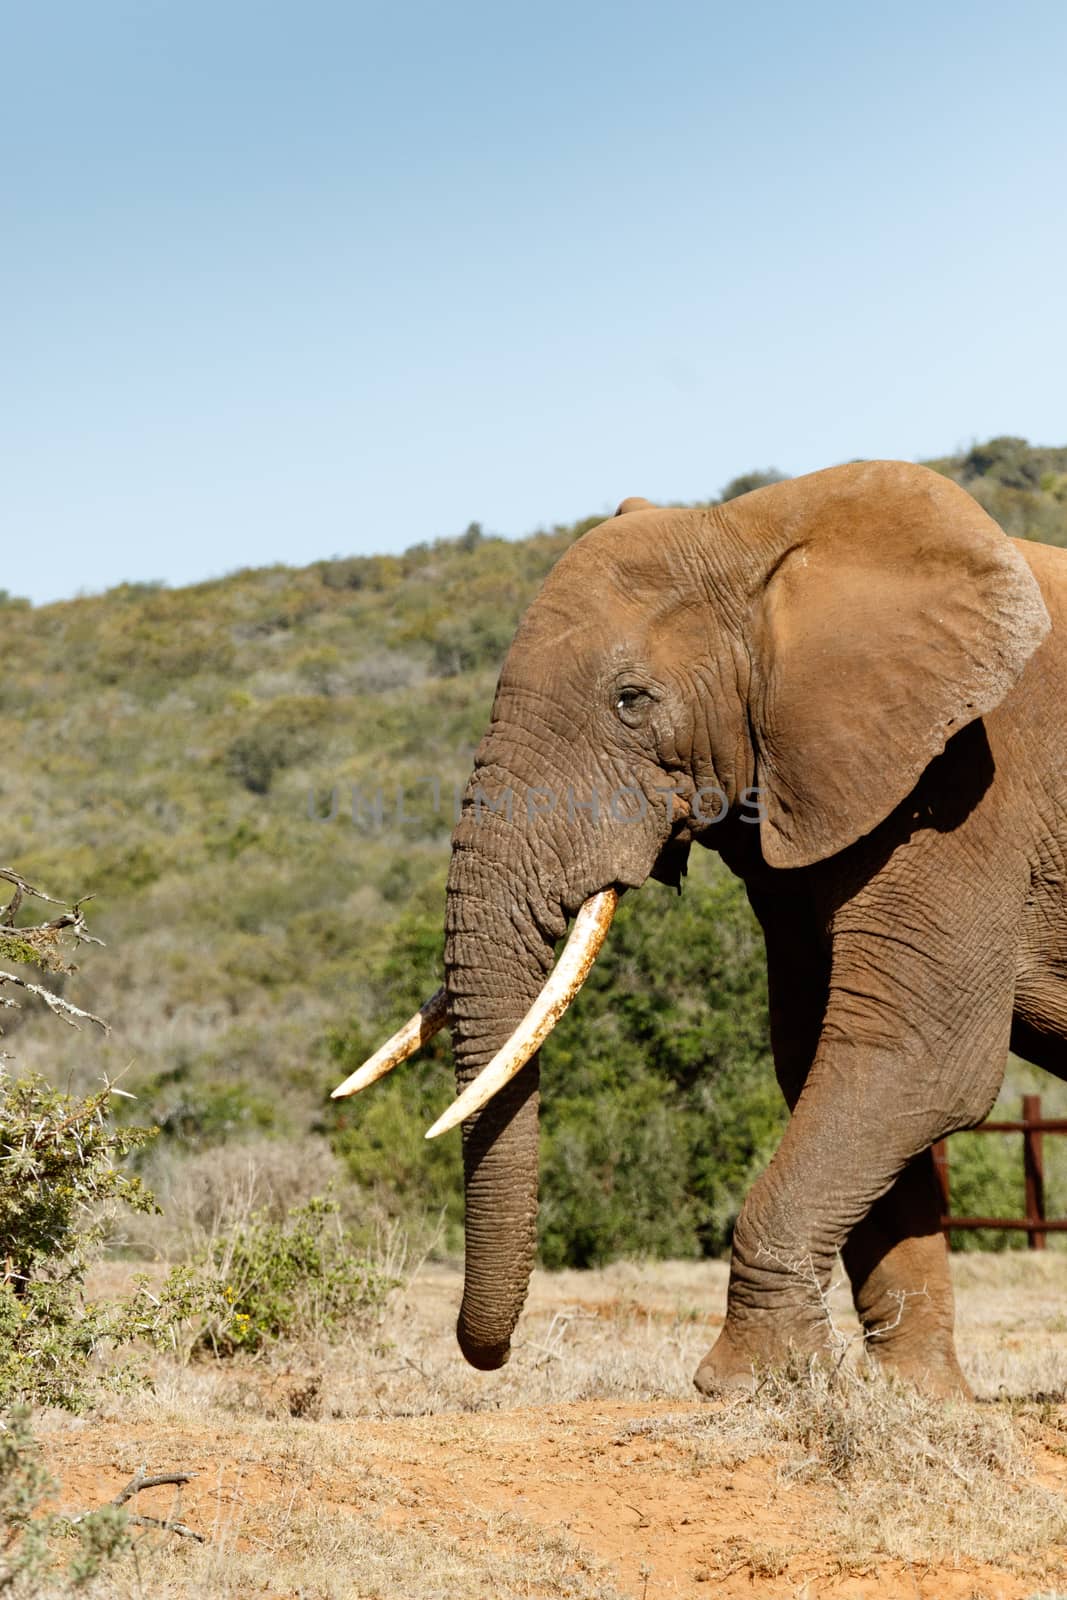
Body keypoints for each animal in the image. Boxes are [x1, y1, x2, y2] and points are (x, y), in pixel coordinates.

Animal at [335, 457, 1067, 1395]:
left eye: (630, 701)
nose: (485, 1355)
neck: (761, 538)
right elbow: (823, 1055)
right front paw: (916, 1401)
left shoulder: (966, 786)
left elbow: (914, 1058)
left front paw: (747, 1384)